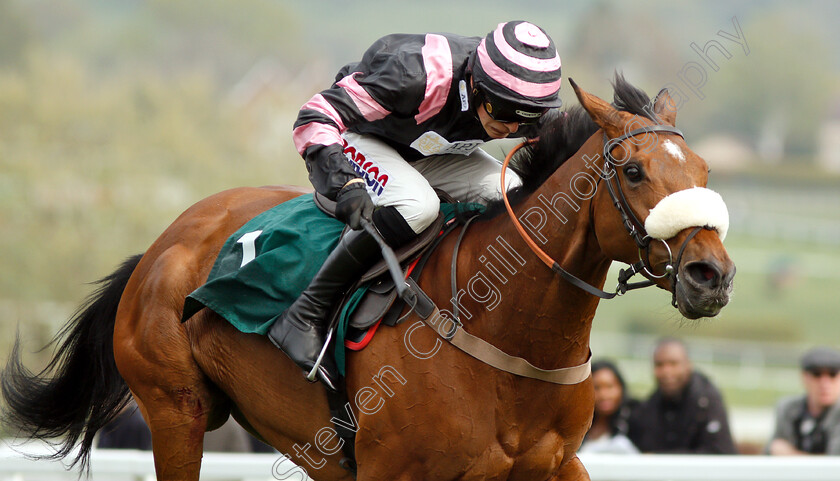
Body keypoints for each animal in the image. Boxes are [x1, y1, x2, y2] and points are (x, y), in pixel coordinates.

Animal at [1, 76, 736, 480]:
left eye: (703, 169)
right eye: (634, 171)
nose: (712, 274)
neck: (508, 334)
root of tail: (160, 248)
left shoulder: (555, 463)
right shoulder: (393, 470)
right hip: (175, 411)